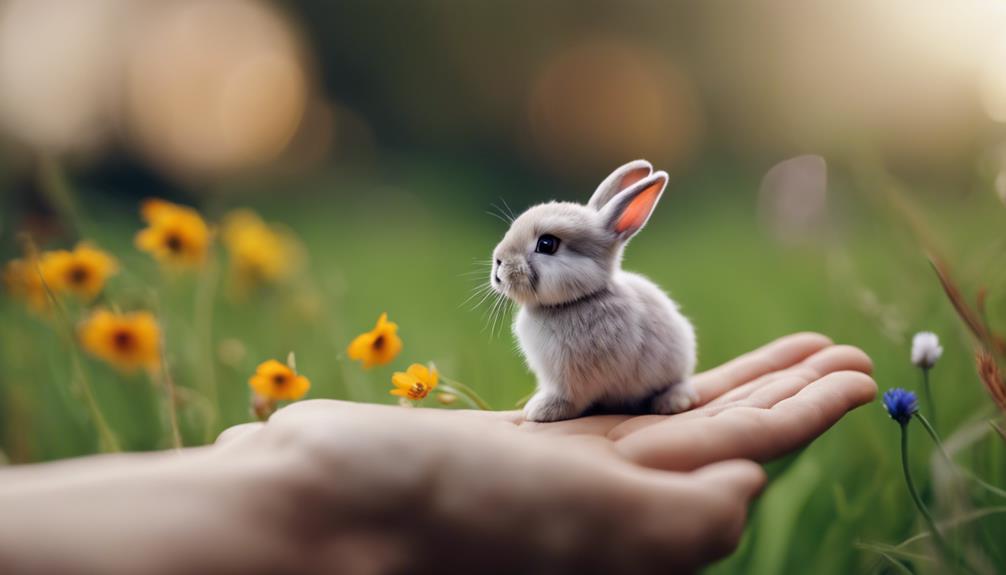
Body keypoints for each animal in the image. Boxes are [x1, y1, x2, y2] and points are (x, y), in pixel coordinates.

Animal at [490, 159, 698, 422]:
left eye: (546, 244)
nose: (498, 262)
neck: (577, 300)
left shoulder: (572, 379)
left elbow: (569, 398)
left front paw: (541, 411)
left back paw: (672, 402)